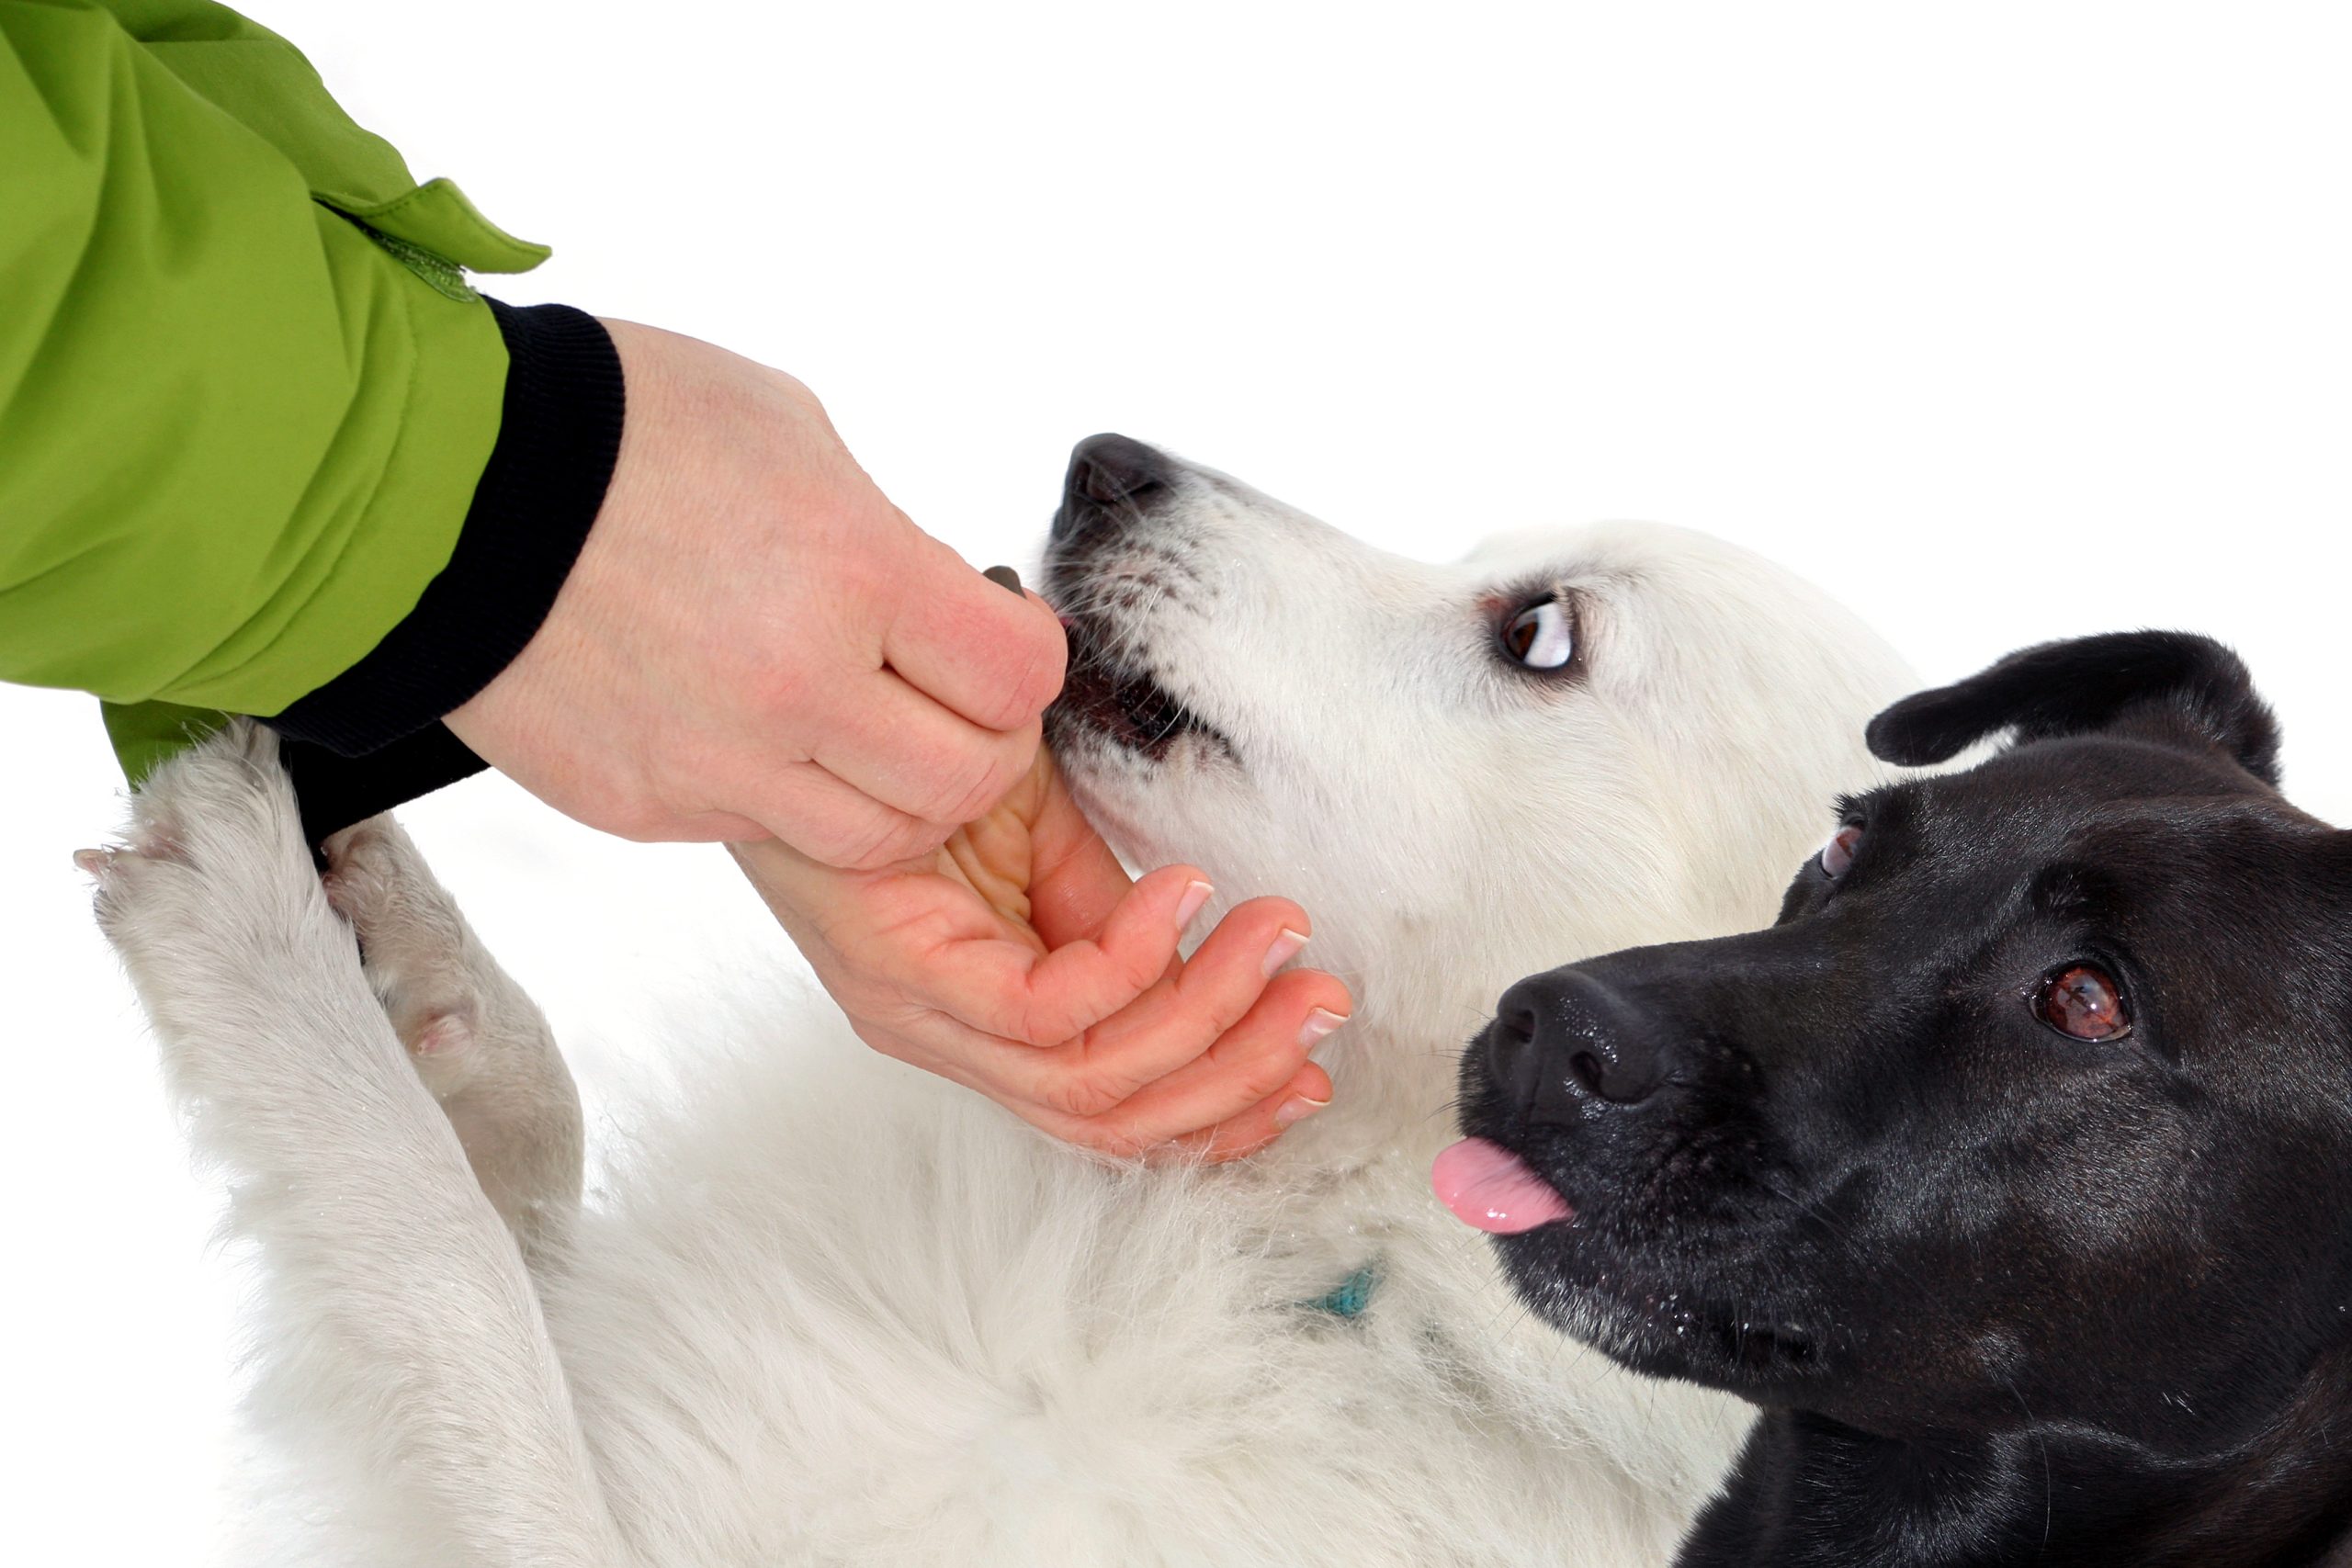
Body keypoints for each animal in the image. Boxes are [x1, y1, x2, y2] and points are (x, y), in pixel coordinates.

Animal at [101, 434, 1918, 1561]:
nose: (1104, 464)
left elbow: (447, 1277)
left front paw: (258, 934)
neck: (1331, 1263)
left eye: (1538, 629)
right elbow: (521, 1202)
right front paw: (424, 982)